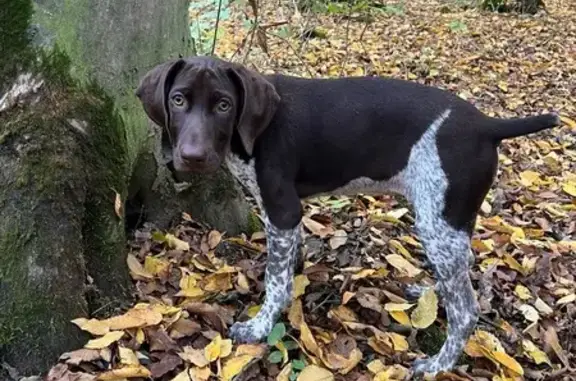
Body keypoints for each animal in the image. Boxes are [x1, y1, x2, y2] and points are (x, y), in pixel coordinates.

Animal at [134, 56, 560, 374]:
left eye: (224, 105)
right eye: (178, 100)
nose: (191, 157)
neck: (251, 130)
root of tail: (488, 125)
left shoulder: (283, 209)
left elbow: (276, 281)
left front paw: (260, 325)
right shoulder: (288, 218)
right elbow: (288, 265)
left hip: (437, 221)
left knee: (466, 311)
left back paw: (438, 364)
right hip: (449, 221)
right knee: (463, 269)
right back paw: (430, 292)